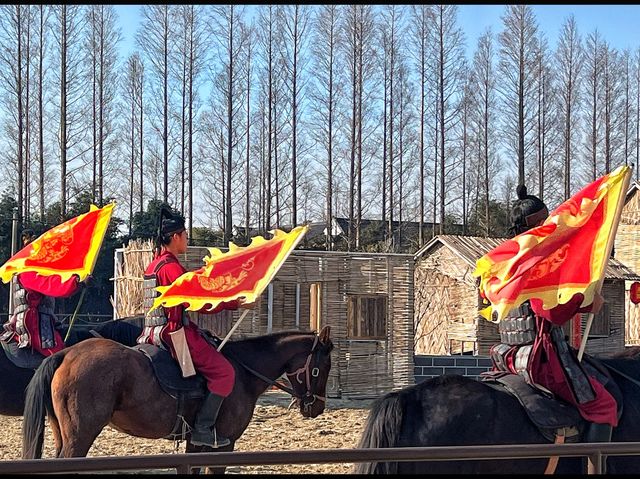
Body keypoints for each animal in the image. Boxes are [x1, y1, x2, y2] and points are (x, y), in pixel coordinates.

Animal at [22, 324, 332, 470]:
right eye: (323, 367)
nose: (316, 407)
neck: (243, 370)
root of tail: (67, 353)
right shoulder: (225, 445)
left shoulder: (196, 445)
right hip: (79, 437)